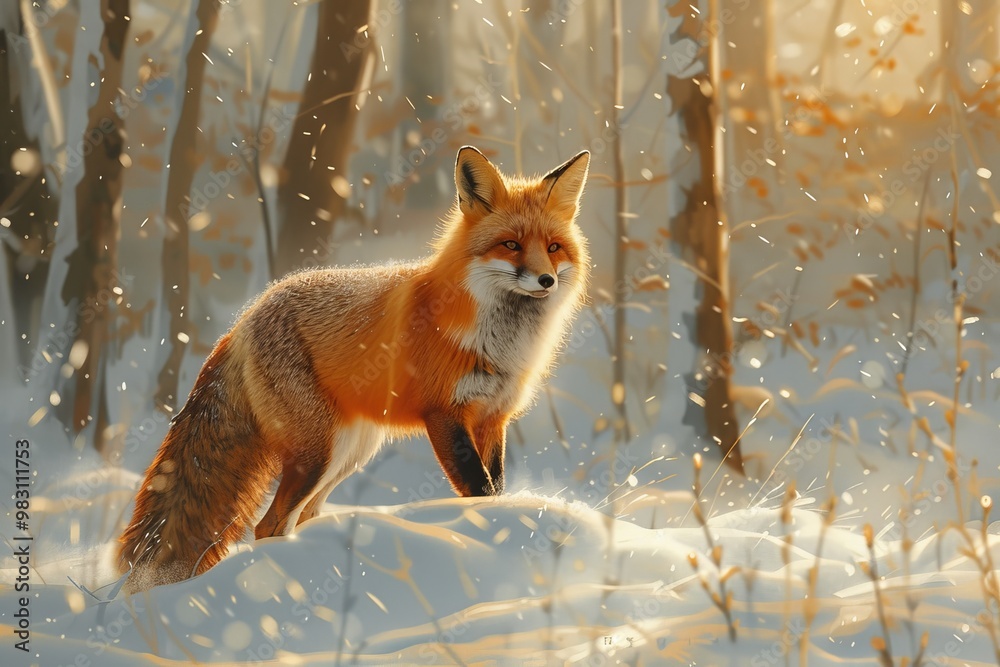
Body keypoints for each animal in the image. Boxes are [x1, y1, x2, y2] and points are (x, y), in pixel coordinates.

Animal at [117, 146, 591, 592]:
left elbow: (496, 486)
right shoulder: (445, 415)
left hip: (349, 453)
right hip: (316, 455)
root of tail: (247, 315)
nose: (546, 280)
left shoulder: (494, 417)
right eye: (511, 245)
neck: (497, 341)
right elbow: (479, 489)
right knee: (268, 525)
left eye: (553, 248)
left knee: (304, 515)